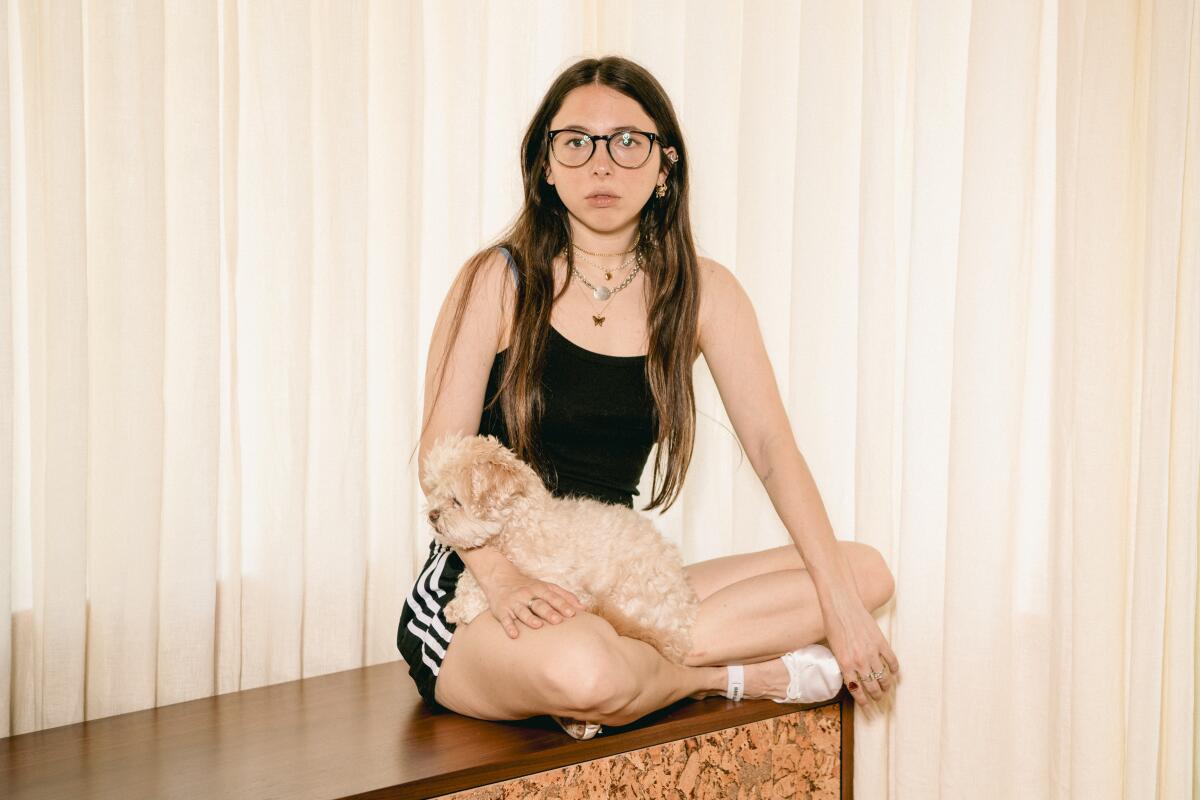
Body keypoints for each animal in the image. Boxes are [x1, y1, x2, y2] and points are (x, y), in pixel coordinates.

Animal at [424, 431, 700, 662]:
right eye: (435, 491)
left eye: (456, 500)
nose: (432, 515)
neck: (519, 528)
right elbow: (473, 579)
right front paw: (461, 601)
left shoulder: (558, 581)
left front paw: (466, 605)